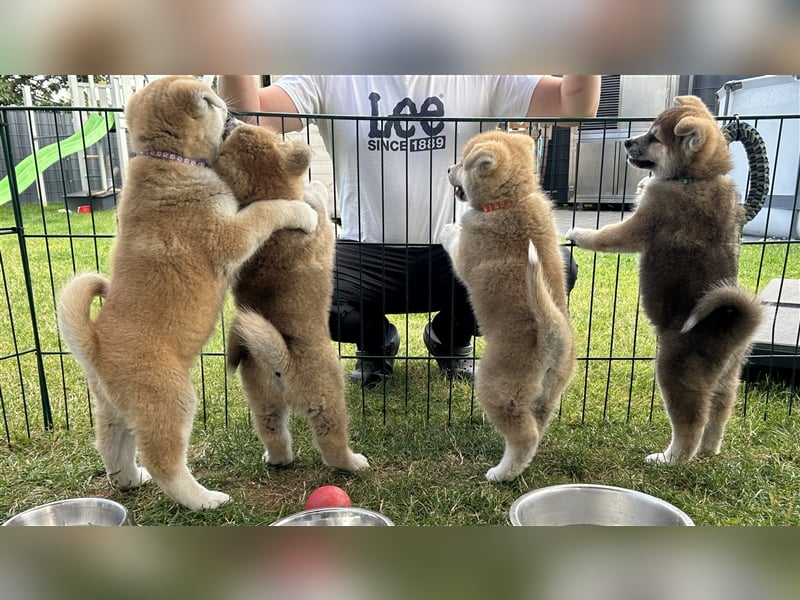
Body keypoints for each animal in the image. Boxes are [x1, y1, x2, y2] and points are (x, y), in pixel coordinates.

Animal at [57, 76, 318, 510]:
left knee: (113, 450)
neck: (169, 159)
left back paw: (131, 481)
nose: (230, 109)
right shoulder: (230, 234)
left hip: (113, 410)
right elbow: (267, 210)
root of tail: (94, 343)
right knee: (165, 461)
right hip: (170, 400)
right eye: (211, 102)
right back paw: (203, 499)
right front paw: (304, 213)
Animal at [212, 125, 368, 474]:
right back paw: (352, 462)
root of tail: (280, 364)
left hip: (262, 401)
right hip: (327, 399)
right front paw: (315, 188)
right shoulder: (321, 224)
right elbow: (316, 199)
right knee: (332, 443)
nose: (230, 122)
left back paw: (276, 459)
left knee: (274, 434)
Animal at [438, 131, 576, 482]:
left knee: (523, 436)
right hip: (548, 395)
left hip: (497, 390)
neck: (512, 201)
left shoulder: (465, 256)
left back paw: (501, 473)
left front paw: (449, 228)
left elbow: (455, 242)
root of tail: (553, 336)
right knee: (537, 429)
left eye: (463, 162)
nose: (448, 168)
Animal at [564, 96, 764, 466]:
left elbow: (606, 236)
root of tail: (732, 329)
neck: (695, 178)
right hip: (729, 378)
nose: (627, 142)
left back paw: (671, 458)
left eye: (655, 138)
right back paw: (709, 451)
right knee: (719, 413)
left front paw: (579, 234)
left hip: (675, 369)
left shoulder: (642, 223)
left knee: (691, 422)